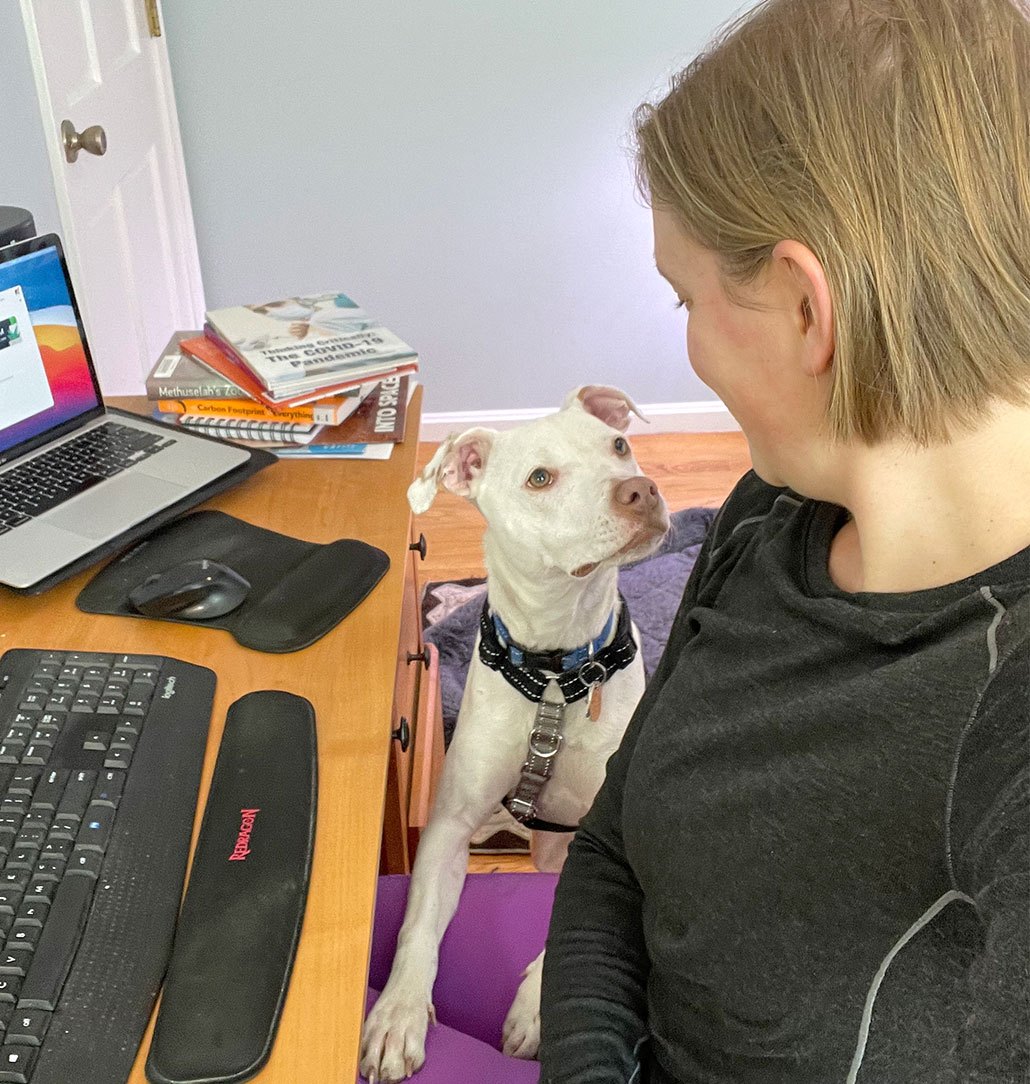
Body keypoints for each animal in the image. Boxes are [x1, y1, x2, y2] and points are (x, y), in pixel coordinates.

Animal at [357, 385, 672, 1079]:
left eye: (618, 445)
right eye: (540, 479)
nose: (639, 490)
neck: (557, 671)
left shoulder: (603, 838)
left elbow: (563, 918)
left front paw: (534, 1009)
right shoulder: (448, 827)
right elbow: (416, 925)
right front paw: (396, 1015)